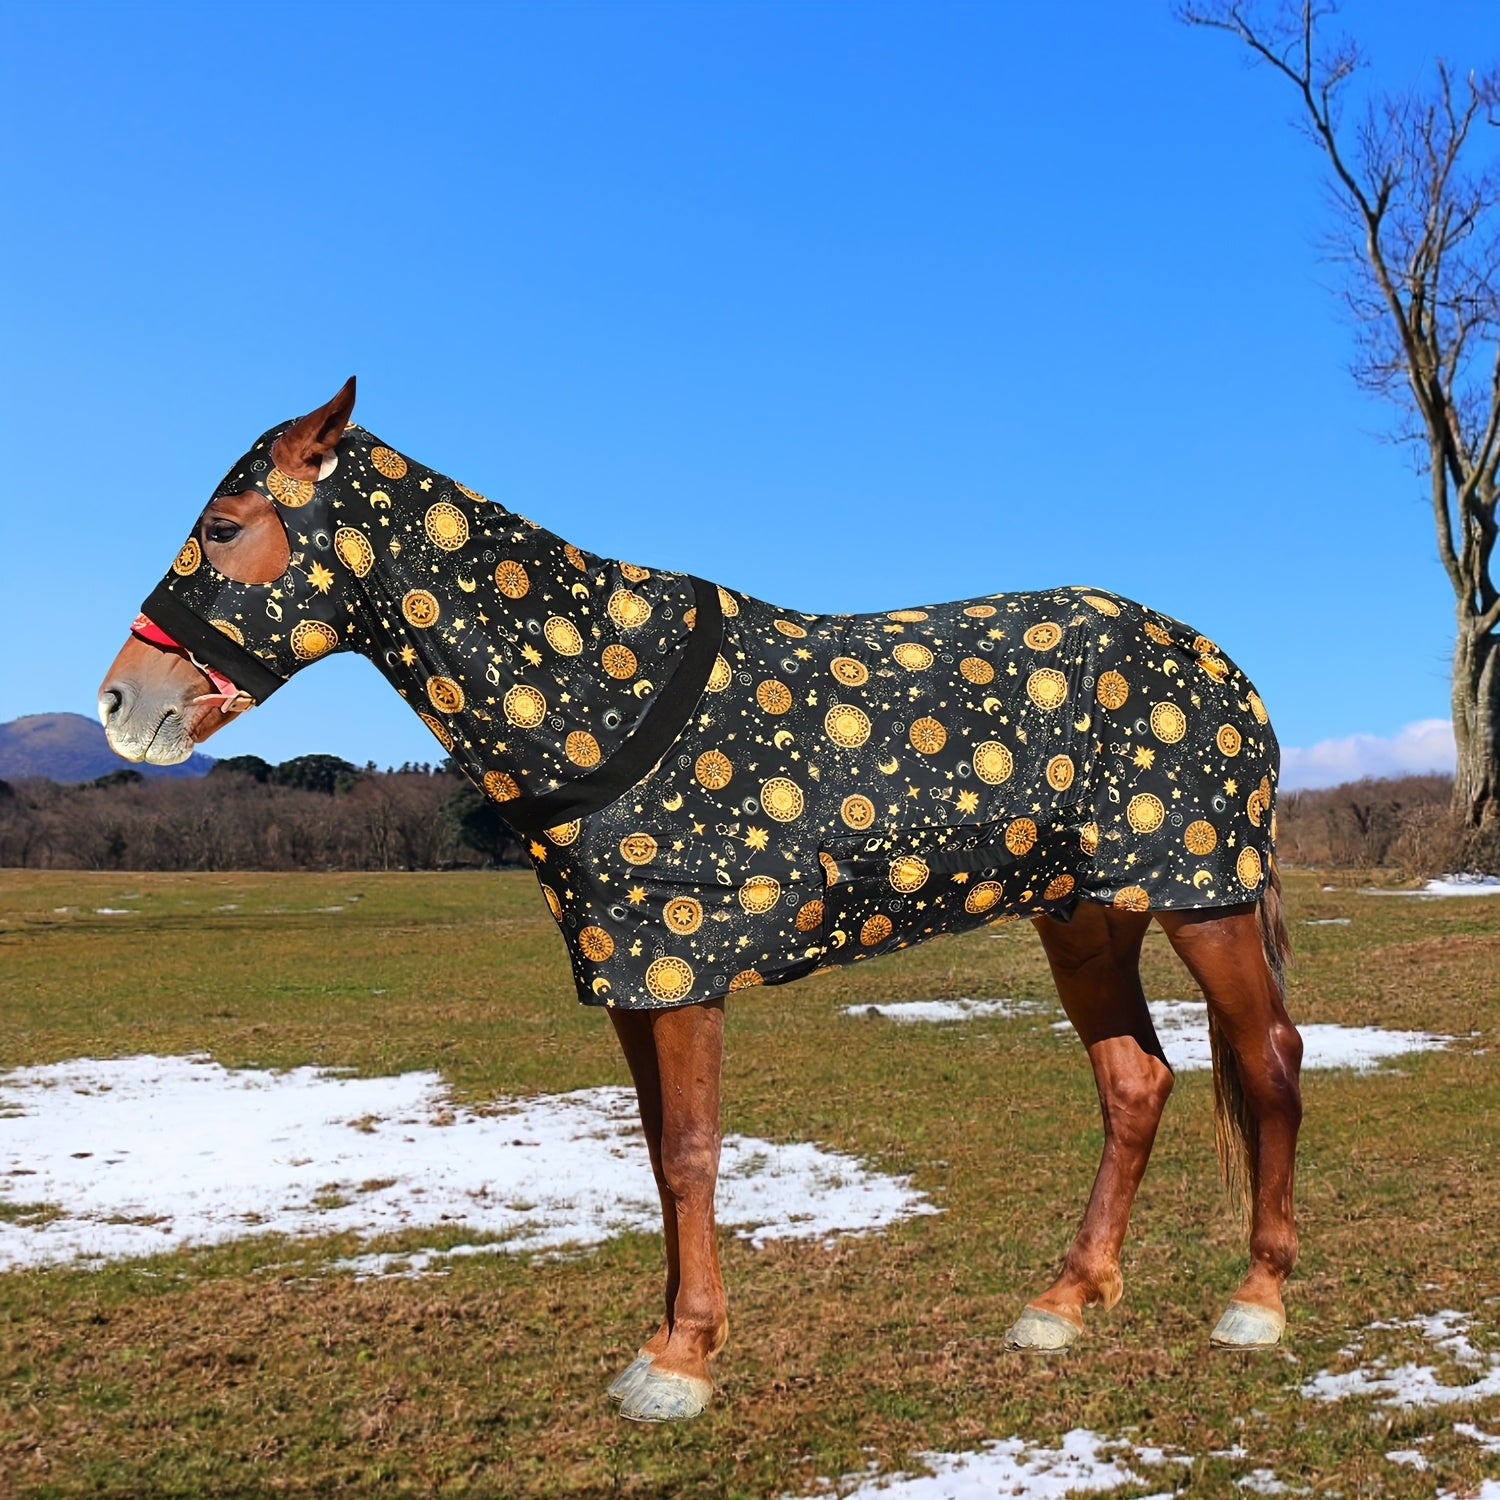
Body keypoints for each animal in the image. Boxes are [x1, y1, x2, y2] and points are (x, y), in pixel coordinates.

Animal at [99, 379, 1303, 1423]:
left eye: (223, 525)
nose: (122, 700)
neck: (601, 691)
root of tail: (1222, 667)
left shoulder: (682, 968)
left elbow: (690, 1153)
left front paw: (683, 1362)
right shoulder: (630, 978)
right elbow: (654, 1157)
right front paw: (666, 1339)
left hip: (1204, 900)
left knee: (1270, 1058)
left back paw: (1257, 1299)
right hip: (1087, 915)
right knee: (1135, 1082)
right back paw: (1064, 1300)